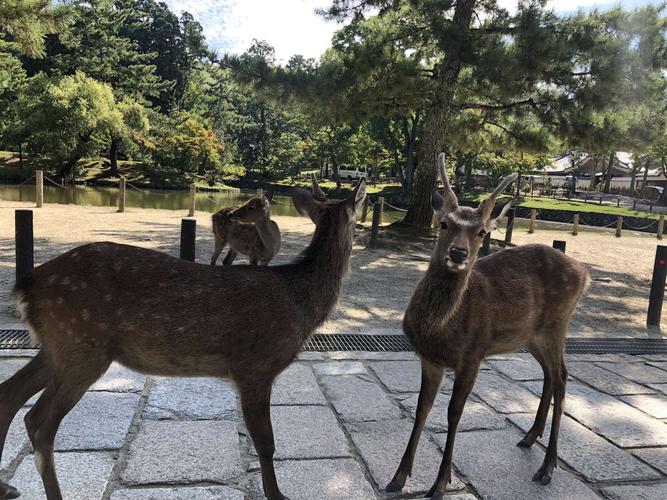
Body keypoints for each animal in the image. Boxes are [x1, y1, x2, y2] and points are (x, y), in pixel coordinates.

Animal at [0, 178, 366, 498]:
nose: (360, 233)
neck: (300, 304)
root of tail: (24, 288)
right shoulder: (255, 366)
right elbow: (266, 442)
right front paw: (277, 494)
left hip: (59, 346)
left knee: (10, 394)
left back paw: (7, 486)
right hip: (81, 346)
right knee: (39, 421)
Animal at [386, 154, 588, 498]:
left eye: (482, 232)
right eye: (444, 223)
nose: (458, 252)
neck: (441, 331)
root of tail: (585, 273)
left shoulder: (473, 355)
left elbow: (454, 412)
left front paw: (440, 483)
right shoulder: (429, 359)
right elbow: (422, 407)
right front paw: (398, 477)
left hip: (557, 324)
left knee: (562, 376)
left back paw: (547, 467)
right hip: (530, 336)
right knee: (550, 374)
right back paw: (529, 437)